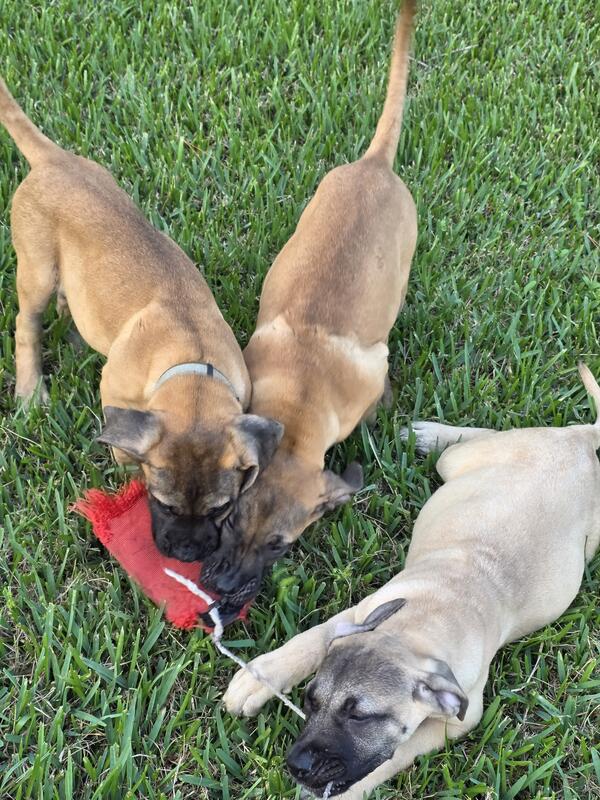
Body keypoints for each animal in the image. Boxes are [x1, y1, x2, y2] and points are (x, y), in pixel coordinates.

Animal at [0, 79, 283, 562]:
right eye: (162, 503)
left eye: (221, 508)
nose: (187, 554)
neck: (193, 362)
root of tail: (53, 160)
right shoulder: (114, 395)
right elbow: (124, 446)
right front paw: (126, 465)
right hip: (35, 270)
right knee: (26, 326)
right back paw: (31, 391)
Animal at [224, 364, 600, 799]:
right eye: (312, 701)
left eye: (360, 718)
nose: (296, 765)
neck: (414, 629)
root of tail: (581, 438)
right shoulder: (356, 615)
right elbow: (307, 642)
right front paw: (257, 678)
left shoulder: (456, 720)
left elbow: (392, 756)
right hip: (461, 461)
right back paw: (428, 435)